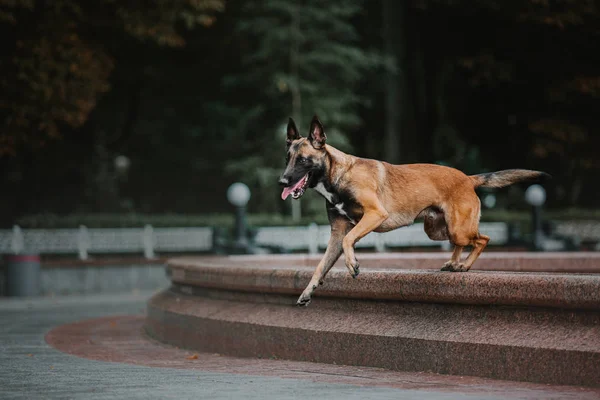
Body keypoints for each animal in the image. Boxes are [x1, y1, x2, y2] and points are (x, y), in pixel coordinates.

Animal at [278, 115, 552, 306]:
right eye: (287, 159)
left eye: (303, 160)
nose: (282, 181)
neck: (338, 174)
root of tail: (467, 178)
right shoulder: (336, 234)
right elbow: (321, 265)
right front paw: (308, 290)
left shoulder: (374, 215)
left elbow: (349, 241)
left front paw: (352, 263)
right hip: (439, 229)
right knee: (462, 243)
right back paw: (454, 263)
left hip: (458, 227)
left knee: (482, 239)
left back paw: (464, 266)